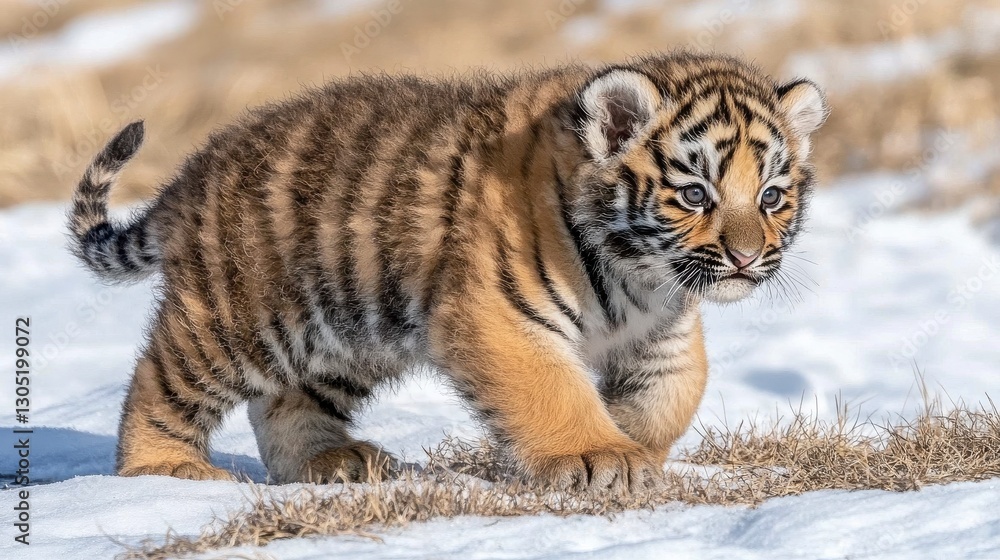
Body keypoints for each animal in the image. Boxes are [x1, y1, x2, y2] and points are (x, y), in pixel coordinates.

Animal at [68, 52, 828, 492]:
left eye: (771, 196)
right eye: (695, 194)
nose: (747, 257)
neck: (639, 277)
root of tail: (191, 174)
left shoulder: (660, 335)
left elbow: (672, 395)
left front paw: (630, 444)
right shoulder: (503, 316)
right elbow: (552, 391)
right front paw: (598, 457)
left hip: (345, 335)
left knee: (285, 403)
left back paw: (331, 465)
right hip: (236, 323)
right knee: (159, 380)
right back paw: (160, 472)